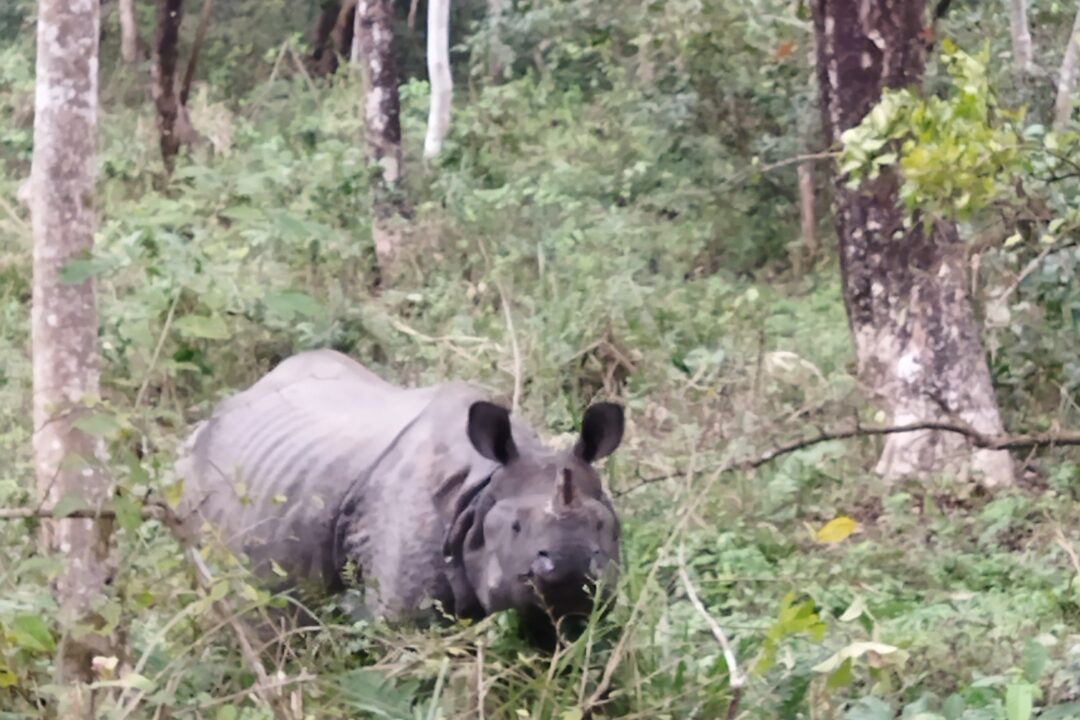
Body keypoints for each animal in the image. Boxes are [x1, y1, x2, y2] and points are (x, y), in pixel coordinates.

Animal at [171, 349, 622, 647]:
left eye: (603, 525)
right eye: (515, 527)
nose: (570, 566)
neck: (483, 489)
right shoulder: (402, 615)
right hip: (188, 479)